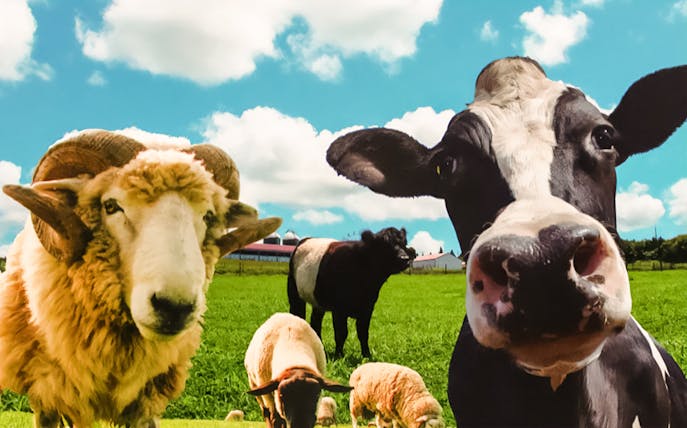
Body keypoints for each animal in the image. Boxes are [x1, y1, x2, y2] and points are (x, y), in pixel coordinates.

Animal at [287, 227, 414, 358]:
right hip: (294, 293)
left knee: (315, 322)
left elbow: (363, 332)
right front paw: (339, 355)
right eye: (385, 244)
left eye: (404, 243)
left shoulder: (367, 307)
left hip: (318, 301)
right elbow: (341, 333)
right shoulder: (338, 309)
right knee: (297, 315)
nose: (405, 258)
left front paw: (367, 355)